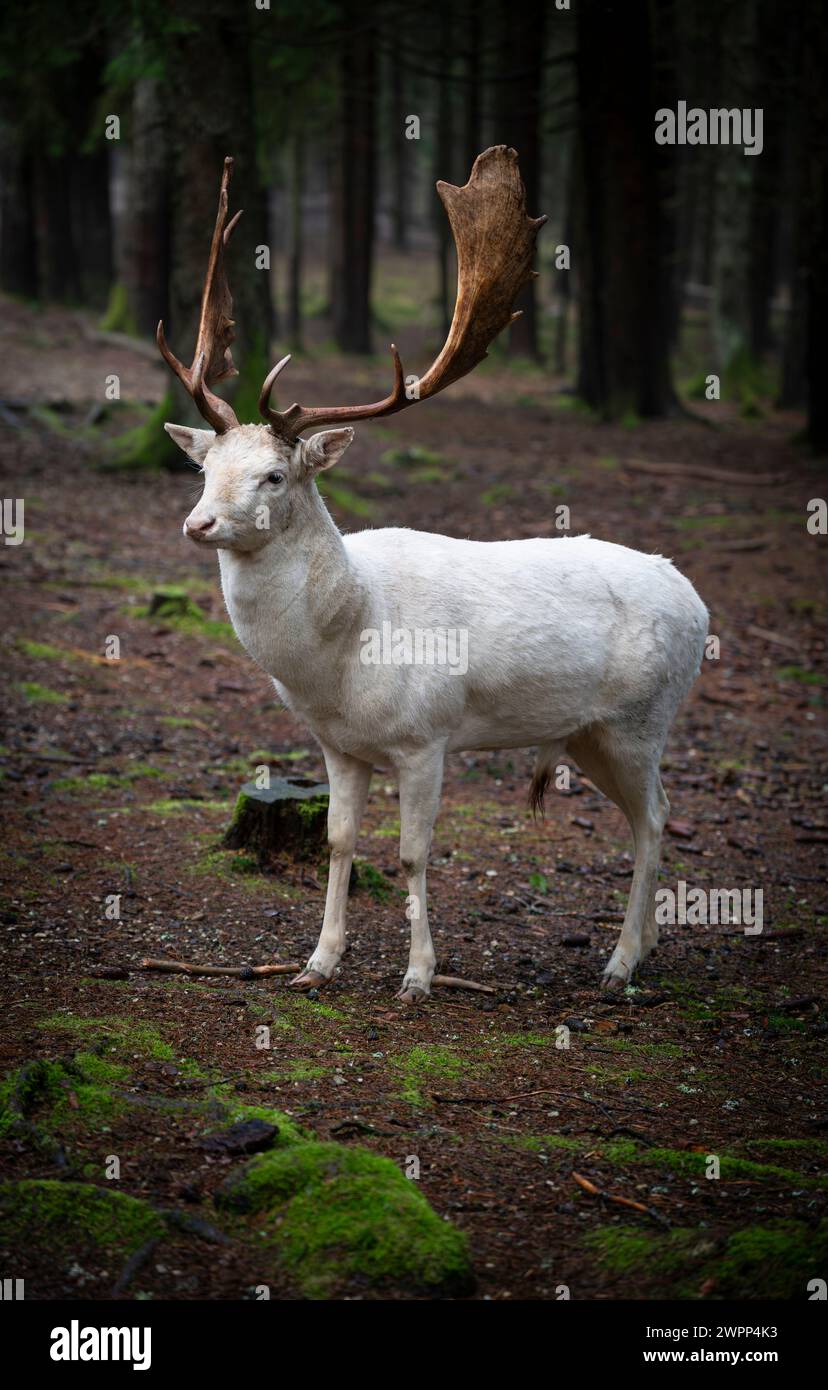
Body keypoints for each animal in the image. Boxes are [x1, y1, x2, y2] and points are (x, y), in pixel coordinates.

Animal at [158, 149, 708, 1000]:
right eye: (206, 467)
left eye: (275, 476)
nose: (200, 524)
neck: (346, 648)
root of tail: (696, 598)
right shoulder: (338, 746)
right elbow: (340, 841)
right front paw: (316, 964)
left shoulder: (427, 736)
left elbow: (414, 853)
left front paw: (418, 976)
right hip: (589, 733)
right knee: (654, 810)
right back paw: (643, 947)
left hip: (641, 718)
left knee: (651, 820)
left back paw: (618, 964)